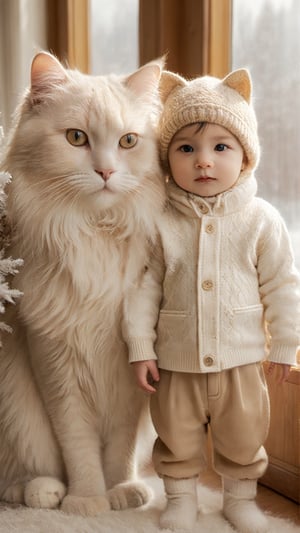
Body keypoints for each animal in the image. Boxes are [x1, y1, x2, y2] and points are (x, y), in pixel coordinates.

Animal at [0, 52, 165, 512]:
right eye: (76, 138)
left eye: (128, 141)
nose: (106, 171)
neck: (96, 233)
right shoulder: (55, 363)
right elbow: (78, 446)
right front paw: (88, 500)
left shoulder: (131, 377)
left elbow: (119, 449)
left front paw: (119, 491)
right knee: (18, 479)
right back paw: (44, 491)